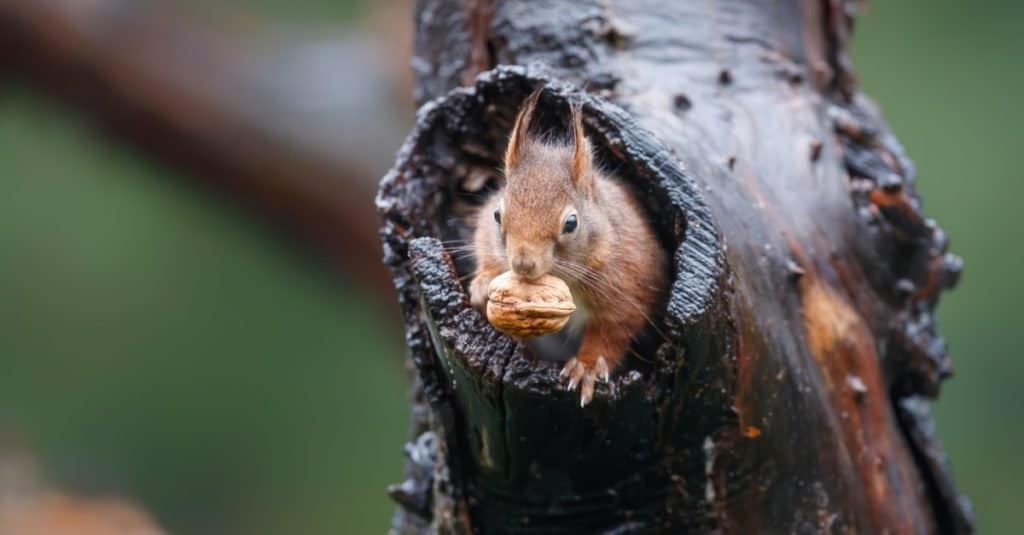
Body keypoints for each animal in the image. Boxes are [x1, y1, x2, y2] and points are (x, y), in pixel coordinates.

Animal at [468, 90, 667, 403]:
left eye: (571, 223)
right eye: (497, 215)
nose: (523, 264)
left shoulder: (629, 284)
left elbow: (612, 332)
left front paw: (586, 368)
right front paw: (483, 283)